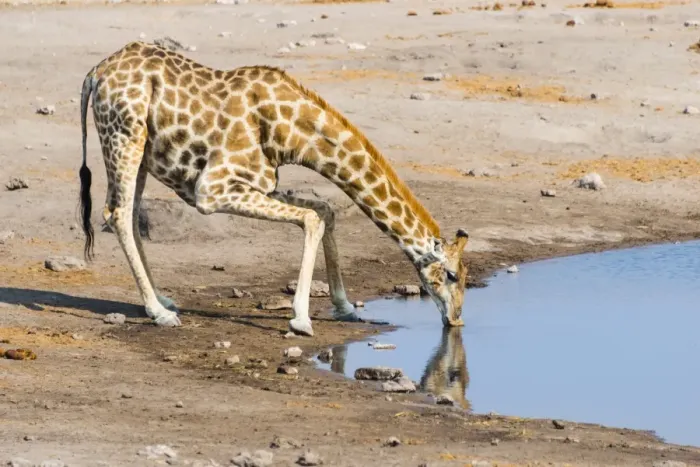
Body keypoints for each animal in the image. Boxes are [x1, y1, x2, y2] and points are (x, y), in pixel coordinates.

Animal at [78, 41, 470, 336]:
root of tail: (96, 72)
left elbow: (324, 210)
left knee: (127, 214)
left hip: (141, 152)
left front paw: (344, 307)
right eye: (451, 275)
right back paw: (160, 313)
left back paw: (162, 301)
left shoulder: (260, 183)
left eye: (465, 276)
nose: (456, 320)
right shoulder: (211, 190)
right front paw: (301, 320)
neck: (290, 132)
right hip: (125, 136)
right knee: (117, 214)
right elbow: (312, 219)